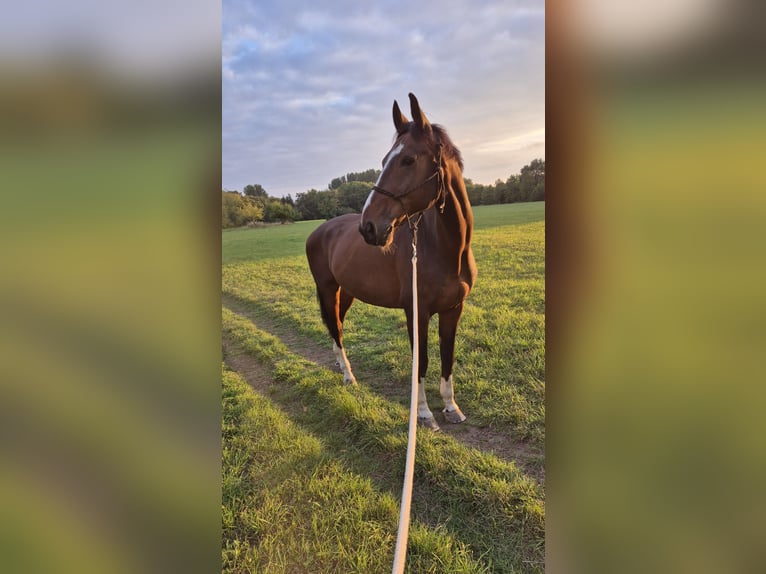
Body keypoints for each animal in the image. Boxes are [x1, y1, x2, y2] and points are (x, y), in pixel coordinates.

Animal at [305, 93, 477, 431]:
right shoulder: (416, 312)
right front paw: (424, 414)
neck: (446, 250)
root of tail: (319, 230)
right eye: (385, 160)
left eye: (408, 159)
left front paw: (451, 407)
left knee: (336, 325)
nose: (368, 227)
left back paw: (339, 366)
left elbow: (447, 356)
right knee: (336, 328)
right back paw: (348, 376)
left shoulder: (453, 309)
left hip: (347, 292)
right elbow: (421, 360)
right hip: (329, 289)